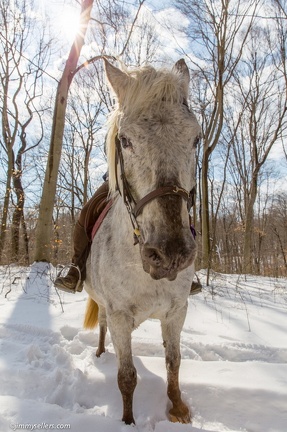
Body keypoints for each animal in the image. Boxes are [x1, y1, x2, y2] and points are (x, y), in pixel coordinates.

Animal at [83, 58, 201, 426]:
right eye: (125, 141)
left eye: (196, 138)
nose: (170, 253)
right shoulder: (120, 316)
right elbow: (126, 377)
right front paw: (127, 421)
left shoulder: (177, 311)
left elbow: (174, 361)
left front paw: (178, 408)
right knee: (101, 327)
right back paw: (100, 354)